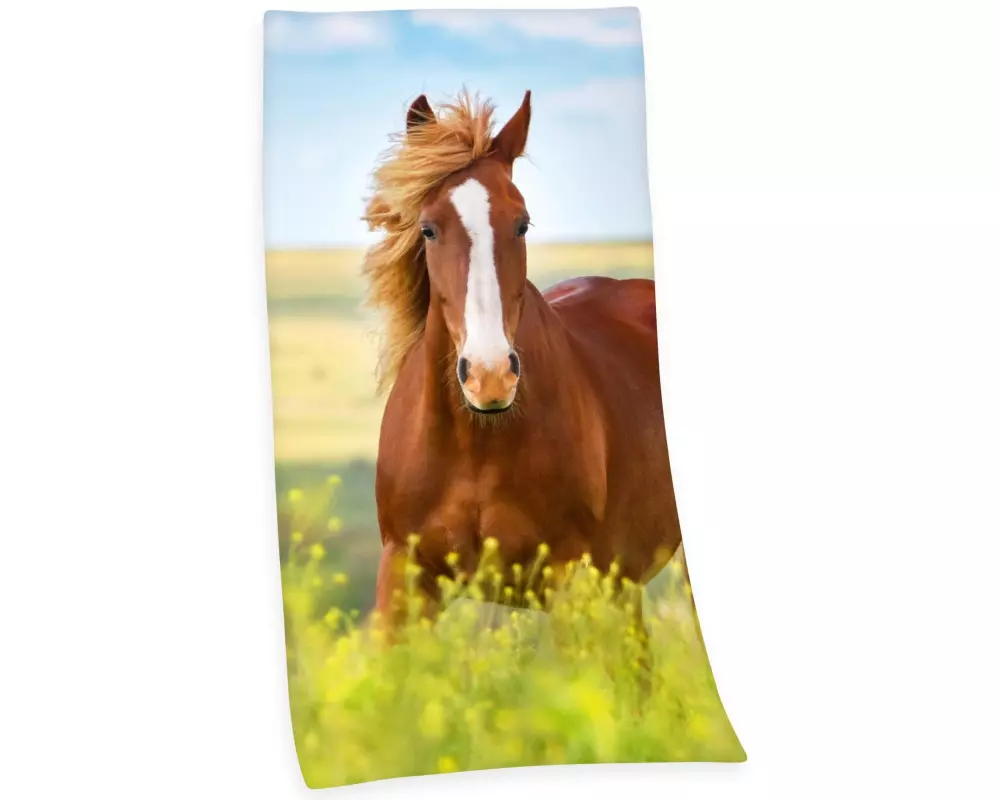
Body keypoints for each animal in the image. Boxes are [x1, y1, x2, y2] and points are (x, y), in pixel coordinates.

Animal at [361, 90, 683, 630]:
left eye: (522, 223)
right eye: (428, 229)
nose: (489, 377)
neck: (476, 444)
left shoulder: (570, 580)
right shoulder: (402, 578)